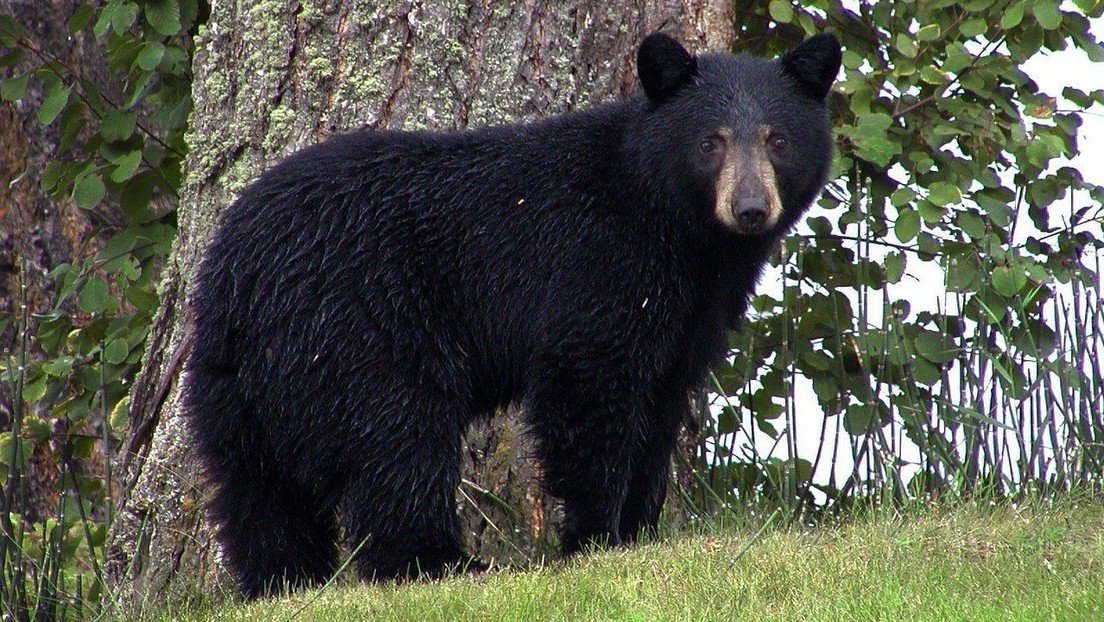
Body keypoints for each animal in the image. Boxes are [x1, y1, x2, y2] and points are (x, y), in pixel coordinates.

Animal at [183, 31, 841, 599]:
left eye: (778, 140)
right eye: (711, 142)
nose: (751, 208)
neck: (678, 231)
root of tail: (236, 275)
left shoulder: (691, 312)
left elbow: (660, 405)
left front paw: (639, 531)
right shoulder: (598, 266)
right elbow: (588, 389)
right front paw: (596, 539)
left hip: (236, 384)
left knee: (258, 490)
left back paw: (284, 581)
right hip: (359, 327)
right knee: (398, 441)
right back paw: (441, 564)